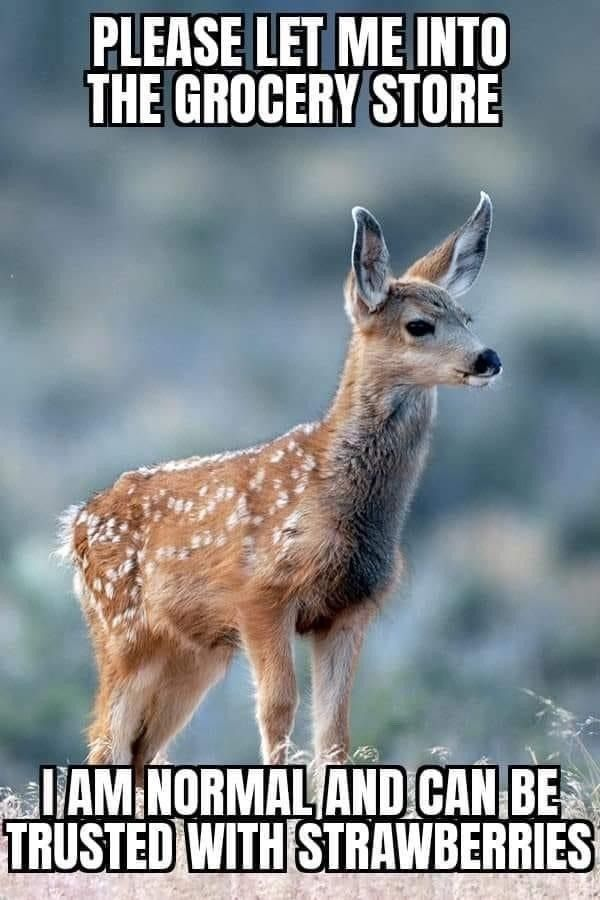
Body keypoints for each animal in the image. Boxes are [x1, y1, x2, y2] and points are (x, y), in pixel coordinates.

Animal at [57, 192, 502, 782]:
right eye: (419, 325)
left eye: (466, 317)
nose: (488, 358)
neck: (334, 497)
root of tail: (75, 524)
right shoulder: (261, 596)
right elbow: (278, 709)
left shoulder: (350, 610)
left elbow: (334, 728)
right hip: (122, 632)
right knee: (105, 740)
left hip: (193, 653)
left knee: (138, 749)